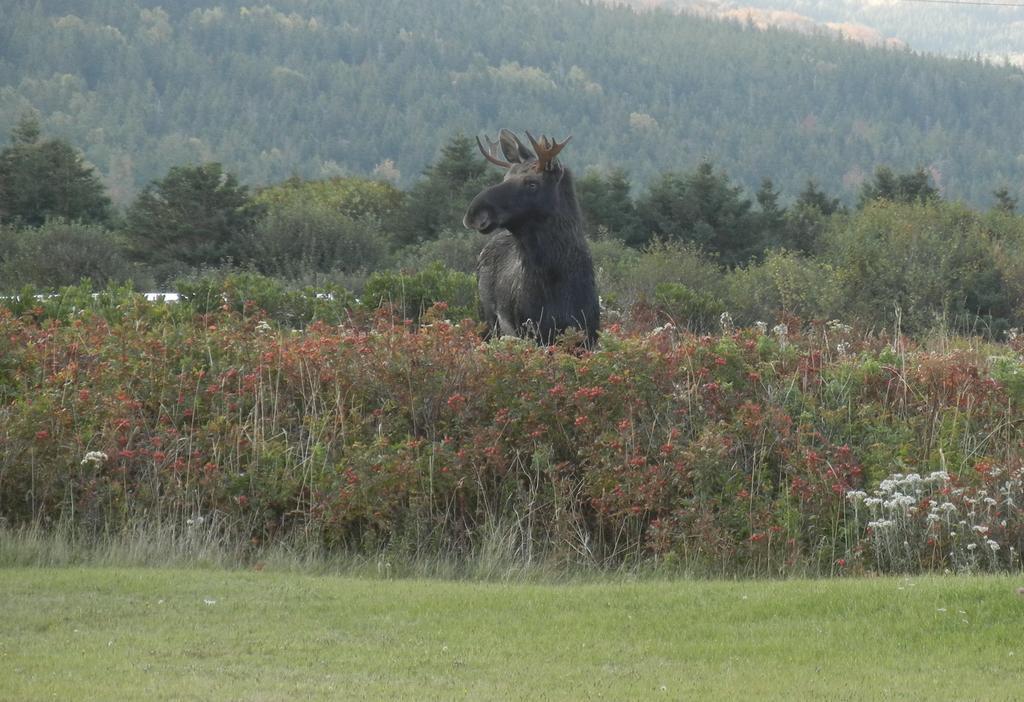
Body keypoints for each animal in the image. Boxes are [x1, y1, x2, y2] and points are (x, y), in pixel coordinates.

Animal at [464, 129, 598, 349]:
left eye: (532, 184)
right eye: (505, 177)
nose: (474, 213)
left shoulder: (588, 335)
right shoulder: (532, 333)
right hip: (489, 319)